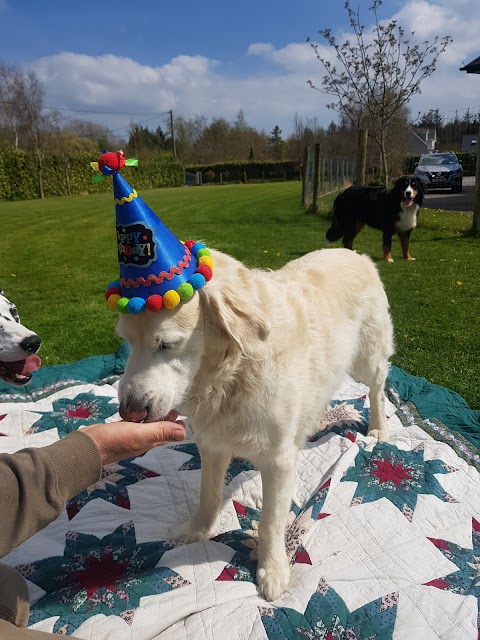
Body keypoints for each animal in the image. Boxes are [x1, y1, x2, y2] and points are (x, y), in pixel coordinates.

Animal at [117, 249, 394, 600]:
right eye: (126, 341)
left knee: (378, 387)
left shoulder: (278, 460)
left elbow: (271, 522)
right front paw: (195, 531)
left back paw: (378, 427)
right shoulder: (212, 444)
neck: (230, 375)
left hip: (365, 360)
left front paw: (272, 571)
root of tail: (354, 253)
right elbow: (208, 496)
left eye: (167, 344)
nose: (130, 413)